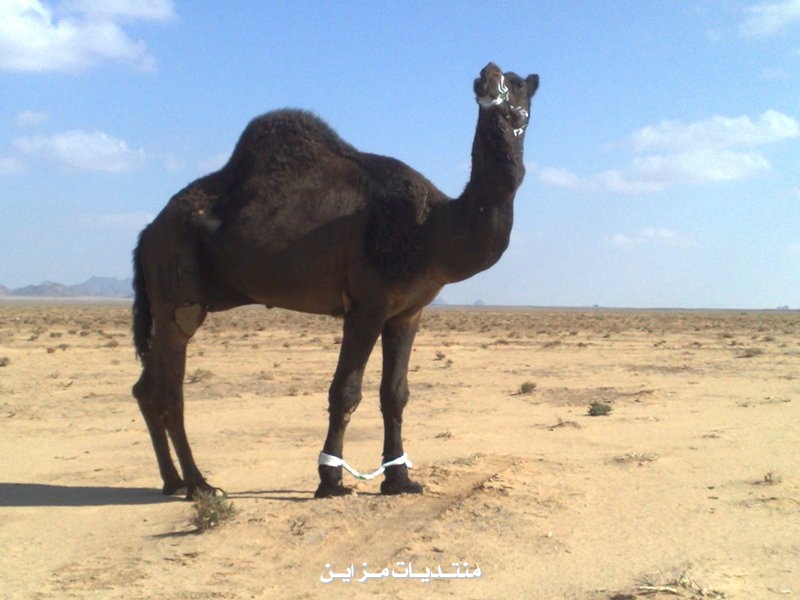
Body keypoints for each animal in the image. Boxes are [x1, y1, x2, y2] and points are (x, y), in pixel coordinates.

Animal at [132, 62, 539, 499]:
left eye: (519, 87)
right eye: (484, 84)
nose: (490, 77)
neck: (432, 229)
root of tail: (147, 233)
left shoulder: (407, 312)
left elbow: (395, 394)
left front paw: (400, 479)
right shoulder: (366, 303)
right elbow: (345, 391)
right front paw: (330, 481)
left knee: (146, 387)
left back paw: (172, 480)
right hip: (178, 287)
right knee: (170, 388)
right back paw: (199, 484)